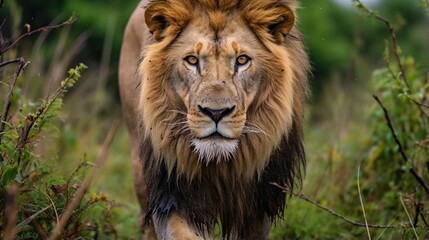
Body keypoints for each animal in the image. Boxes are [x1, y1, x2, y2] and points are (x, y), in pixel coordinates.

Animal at [118, 0, 310, 238]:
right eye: (192, 60)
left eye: (242, 60)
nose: (216, 113)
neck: (220, 165)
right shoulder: (173, 194)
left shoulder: (259, 202)